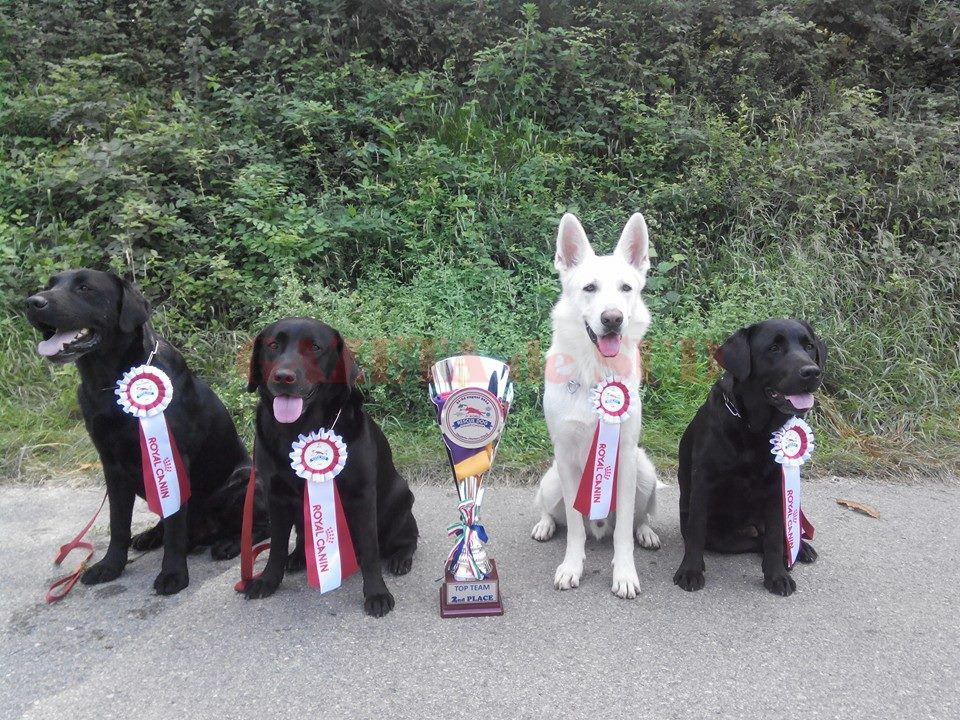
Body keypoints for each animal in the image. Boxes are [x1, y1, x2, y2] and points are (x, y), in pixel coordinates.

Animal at [25, 269, 265, 595]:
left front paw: (173, 573)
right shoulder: (111, 465)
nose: (32, 302)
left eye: (85, 287)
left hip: (241, 481)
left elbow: (175, 526)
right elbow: (118, 523)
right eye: (50, 285)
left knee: (256, 526)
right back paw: (151, 535)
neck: (110, 382)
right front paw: (110, 565)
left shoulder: (173, 460)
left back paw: (227, 544)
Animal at [244, 317, 418, 617]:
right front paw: (267, 580)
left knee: (407, 538)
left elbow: (371, 551)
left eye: (315, 347)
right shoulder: (275, 495)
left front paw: (377, 593)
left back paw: (400, 559)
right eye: (273, 345)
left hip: (400, 499)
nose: (283, 377)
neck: (300, 430)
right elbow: (276, 546)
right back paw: (298, 557)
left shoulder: (362, 496)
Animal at [531, 213, 660, 599]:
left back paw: (646, 531)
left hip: (645, 469)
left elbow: (624, 534)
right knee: (550, 510)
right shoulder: (566, 458)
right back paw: (544, 525)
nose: (613, 318)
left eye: (626, 288)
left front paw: (625, 573)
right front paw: (572, 567)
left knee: (637, 518)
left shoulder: (625, 457)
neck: (595, 375)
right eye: (589, 288)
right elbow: (574, 526)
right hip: (552, 480)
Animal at [673, 318, 827, 596]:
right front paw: (690, 571)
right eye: (774, 348)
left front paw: (777, 576)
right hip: (722, 537)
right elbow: (696, 531)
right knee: (755, 541)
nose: (812, 372)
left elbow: (776, 537)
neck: (754, 428)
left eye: (809, 346)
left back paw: (799, 551)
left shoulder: (778, 487)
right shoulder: (704, 482)